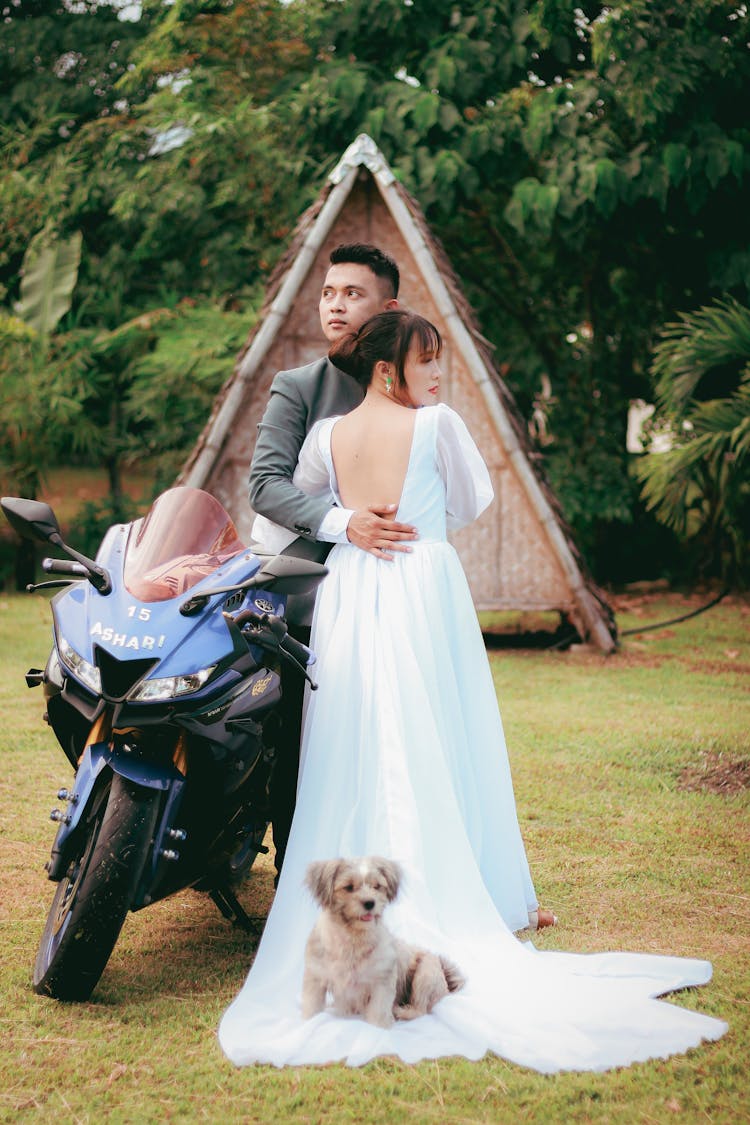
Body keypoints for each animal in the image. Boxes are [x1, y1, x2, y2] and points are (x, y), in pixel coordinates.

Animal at [301, 850, 463, 1030]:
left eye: (377, 886)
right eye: (349, 887)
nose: (370, 903)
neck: (353, 938)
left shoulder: (382, 980)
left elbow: (378, 1011)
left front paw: (378, 1028)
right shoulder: (315, 977)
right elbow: (312, 1007)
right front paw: (308, 1022)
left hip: (425, 973)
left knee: (421, 1009)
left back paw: (401, 1011)